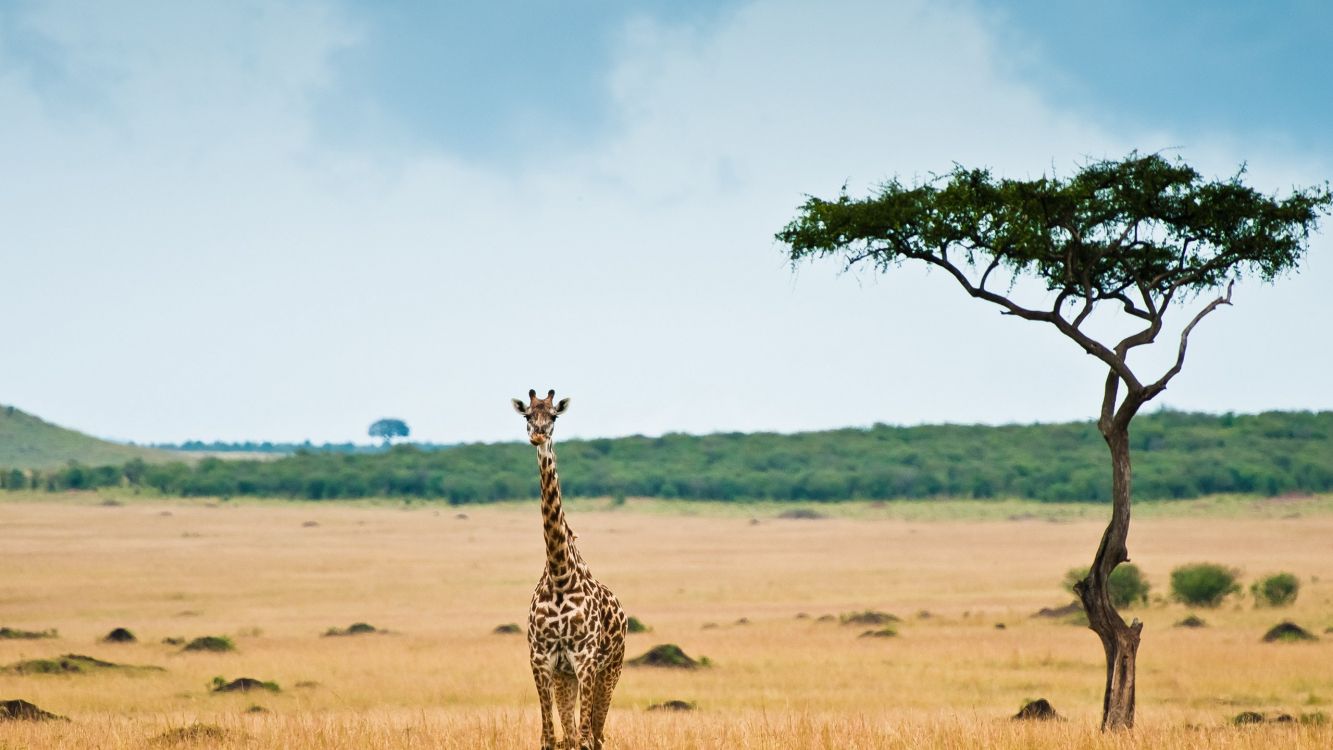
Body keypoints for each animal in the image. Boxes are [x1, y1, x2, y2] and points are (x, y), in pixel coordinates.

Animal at [514, 391, 629, 746]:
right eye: (527, 415)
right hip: (566, 678)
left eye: (553, 416)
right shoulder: (541, 659)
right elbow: (550, 738)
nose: (538, 435)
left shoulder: (586, 659)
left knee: (597, 735)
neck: (560, 573)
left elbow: (585, 737)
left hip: (611, 670)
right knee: (572, 734)